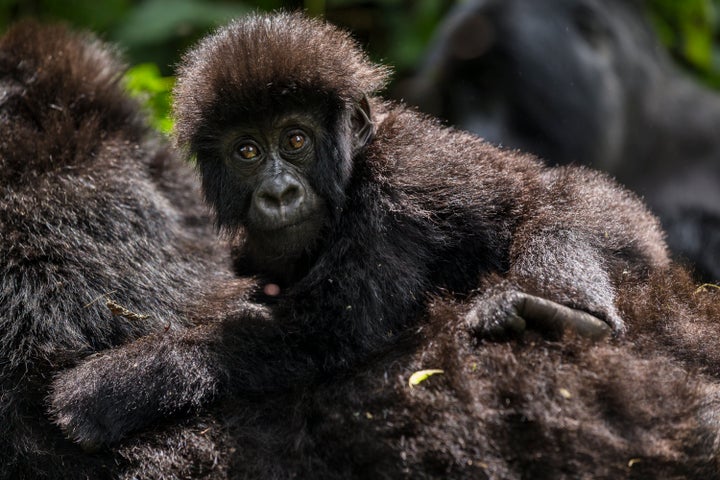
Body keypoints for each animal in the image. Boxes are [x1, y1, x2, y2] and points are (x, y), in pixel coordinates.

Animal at [49, 11, 668, 446]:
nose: (279, 193)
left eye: (296, 139)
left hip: (624, 219)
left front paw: (121, 383)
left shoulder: (398, 194)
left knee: (564, 210)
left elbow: (331, 329)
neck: (357, 163)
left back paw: (564, 310)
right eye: (247, 151)